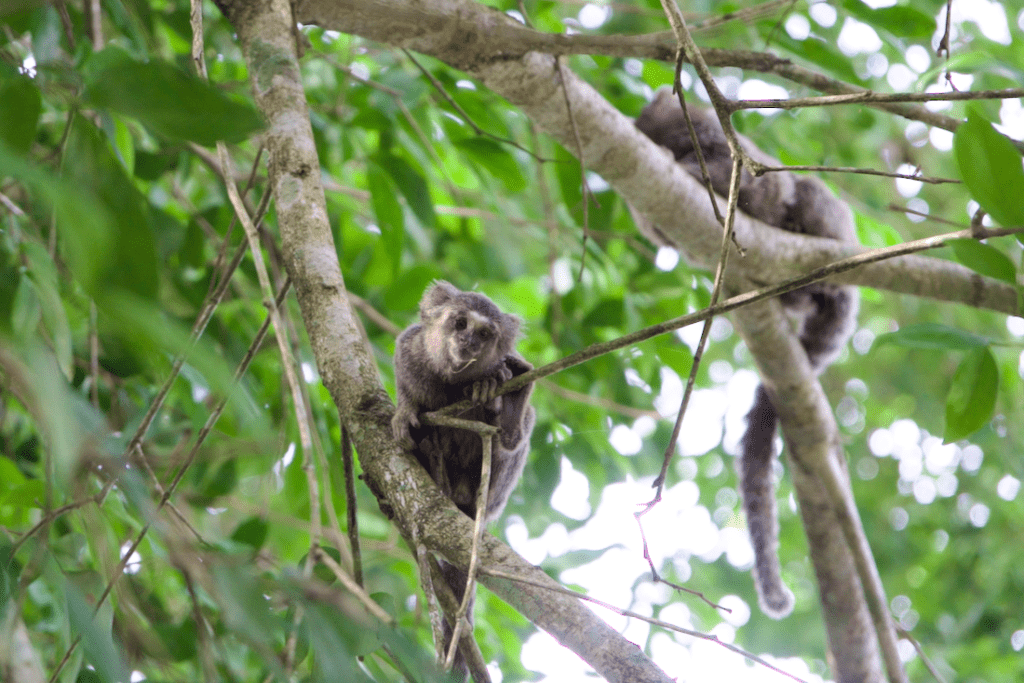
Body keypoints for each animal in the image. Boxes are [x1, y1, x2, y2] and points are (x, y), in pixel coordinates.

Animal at [392, 280, 535, 678]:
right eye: (460, 323)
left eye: (485, 334)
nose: (469, 341)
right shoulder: (408, 354)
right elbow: (407, 386)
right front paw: (405, 410)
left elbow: (507, 387)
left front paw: (502, 390)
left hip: (491, 495)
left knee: (515, 436)